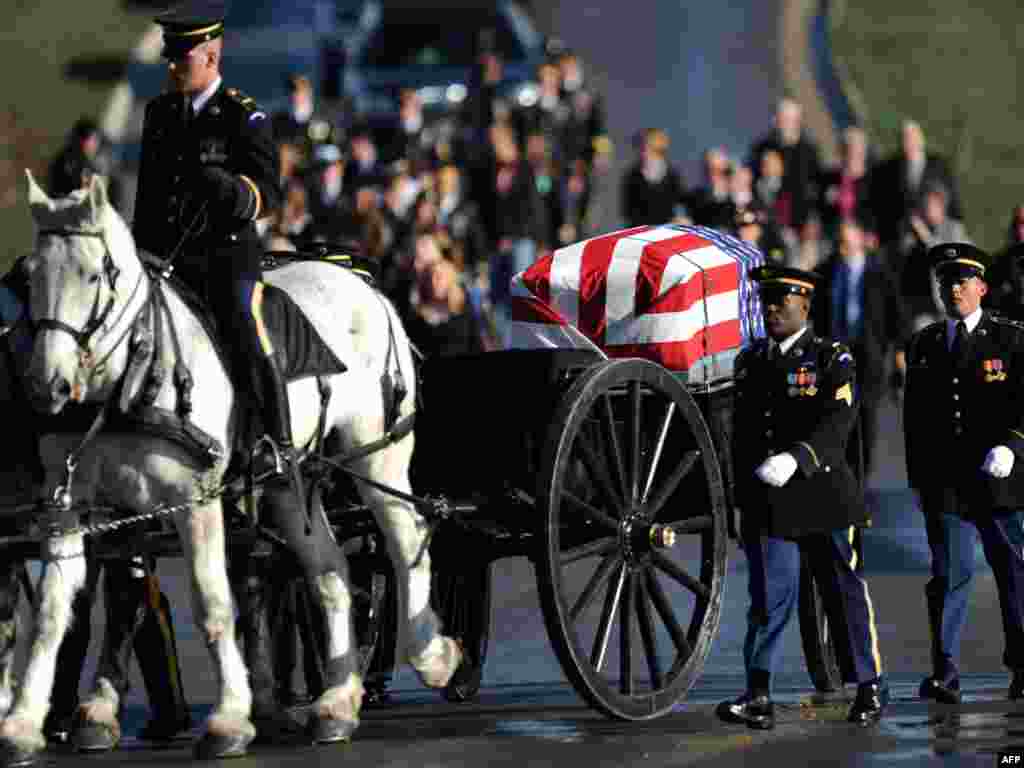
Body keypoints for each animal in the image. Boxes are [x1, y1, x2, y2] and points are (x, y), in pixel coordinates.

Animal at [0, 171, 460, 765]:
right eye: (31, 277)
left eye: (93, 274)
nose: (46, 385)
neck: (130, 377)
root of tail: (364, 283)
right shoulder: (69, 508)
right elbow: (55, 615)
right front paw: (22, 723)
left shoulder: (193, 501)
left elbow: (212, 603)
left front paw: (230, 718)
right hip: (290, 483)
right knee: (330, 570)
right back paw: (338, 700)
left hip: (375, 455)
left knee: (405, 542)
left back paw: (432, 655)